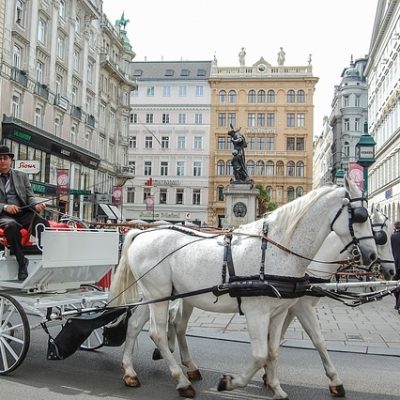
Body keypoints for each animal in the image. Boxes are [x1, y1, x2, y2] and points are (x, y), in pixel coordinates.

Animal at [108, 180, 376, 398]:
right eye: (360, 216)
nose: (372, 255)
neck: (278, 248)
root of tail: (141, 233)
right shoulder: (257, 312)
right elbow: (259, 354)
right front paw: (230, 382)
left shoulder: (278, 312)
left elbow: (273, 350)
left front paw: (276, 387)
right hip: (160, 296)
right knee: (158, 333)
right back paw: (182, 382)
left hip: (154, 296)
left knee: (135, 325)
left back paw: (130, 372)